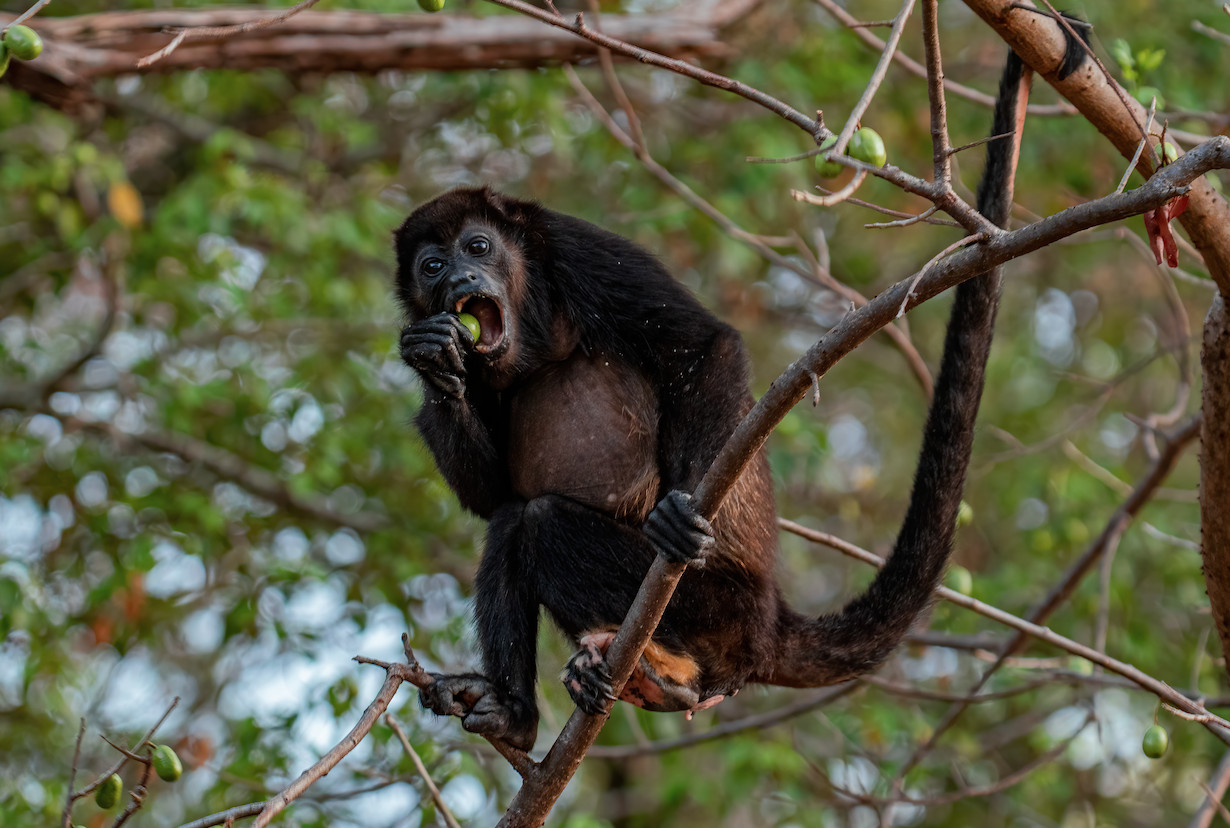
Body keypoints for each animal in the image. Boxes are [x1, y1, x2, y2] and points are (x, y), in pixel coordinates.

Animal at [393, 33, 1086, 751]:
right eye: (432, 266)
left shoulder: (575, 249)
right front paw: (431, 360)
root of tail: (768, 623)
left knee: (537, 522)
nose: (460, 279)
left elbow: (704, 344)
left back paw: (663, 666)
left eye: (479, 246)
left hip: (720, 610)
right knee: (510, 522)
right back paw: (518, 712)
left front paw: (678, 510)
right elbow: (489, 494)